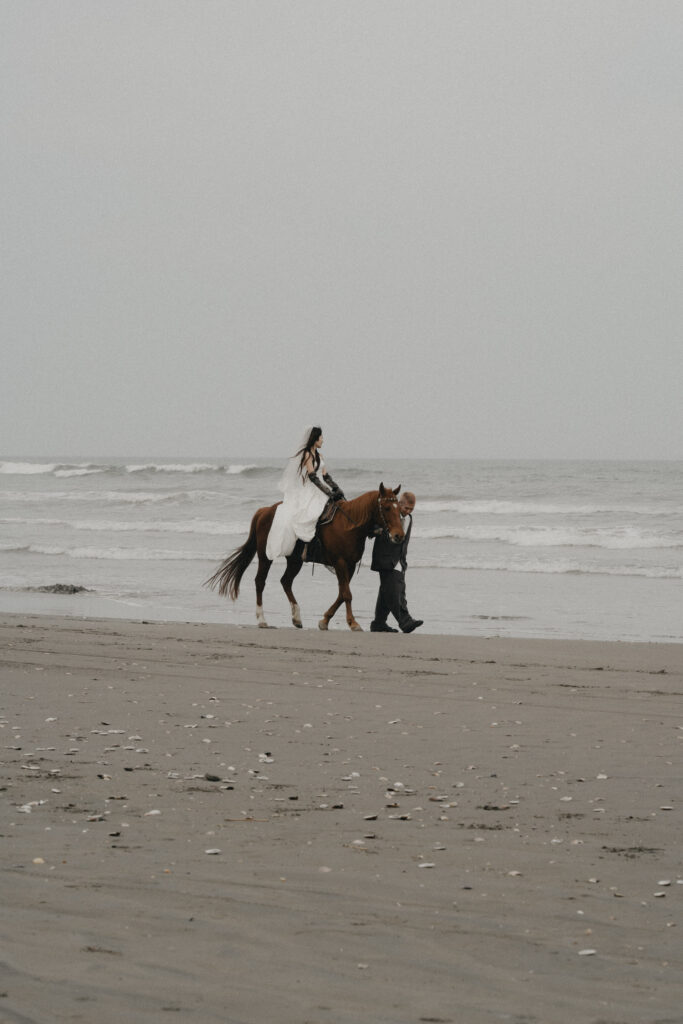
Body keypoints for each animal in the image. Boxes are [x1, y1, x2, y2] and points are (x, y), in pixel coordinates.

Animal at [205, 484, 404, 631]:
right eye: (387, 508)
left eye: (399, 509)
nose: (399, 535)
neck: (348, 525)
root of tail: (264, 511)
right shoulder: (340, 562)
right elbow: (346, 593)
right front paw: (352, 622)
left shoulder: (349, 565)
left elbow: (342, 593)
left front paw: (325, 620)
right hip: (265, 556)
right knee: (260, 581)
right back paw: (262, 619)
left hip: (295, 560)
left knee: (286, 581)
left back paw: (296, 617)